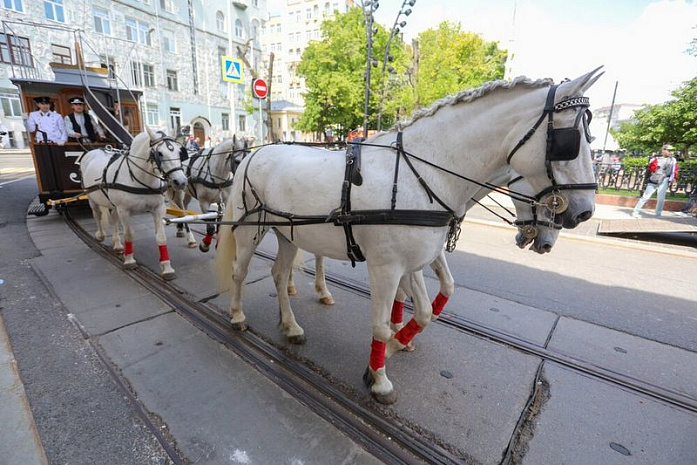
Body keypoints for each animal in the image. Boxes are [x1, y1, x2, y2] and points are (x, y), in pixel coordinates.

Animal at [81, 127, 188, 280]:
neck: (140, 178)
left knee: (114, 220)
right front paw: (129, 260)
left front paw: (167, 267)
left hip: (113, 205)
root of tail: (95, 151)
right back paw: (100, 235)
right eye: (159, 153)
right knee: (97, 215)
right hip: (92, 197)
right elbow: (129, 234)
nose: (181, 182)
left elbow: (161, 237)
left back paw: (117, 243)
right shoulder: (124, 210)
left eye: (179, 152)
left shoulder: (157, 208)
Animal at [216, 70, 600, 402]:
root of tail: (256, 152)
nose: (584, 212)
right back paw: (237, 316)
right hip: (250, 232)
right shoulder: (386, 268)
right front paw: (380, 377)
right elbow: (380, 324)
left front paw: (398, 341)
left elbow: (428, 307)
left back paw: (291, 326)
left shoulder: (415, 261)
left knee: (280, 276)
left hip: (289, 234)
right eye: (570, 142)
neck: (424, 175)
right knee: (239, 272)